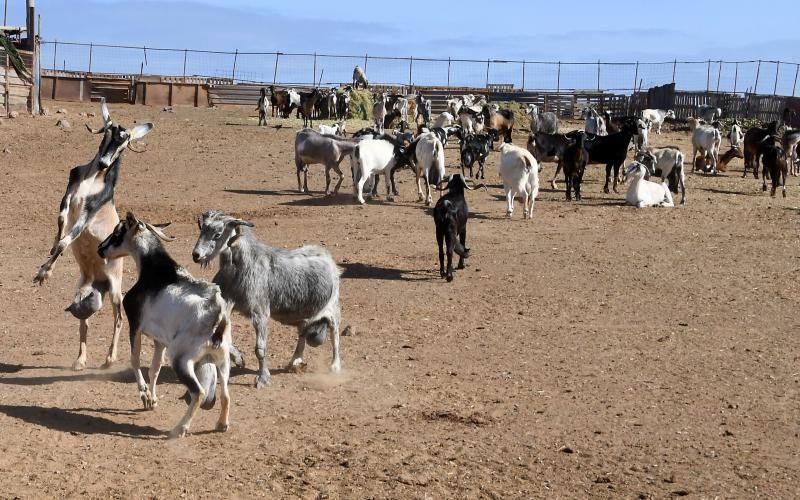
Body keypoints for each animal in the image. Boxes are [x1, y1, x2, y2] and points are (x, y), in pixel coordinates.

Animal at [33, 98, 155, 372]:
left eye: (125, 141)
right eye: (108, 132)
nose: (104, 163)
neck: (94, 180)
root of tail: (100, 283)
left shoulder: (88, 213)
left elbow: (67, 240)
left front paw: (44, 274)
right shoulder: (68, 195)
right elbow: (61, 226)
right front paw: (47, 263)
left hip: (116, 288)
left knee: (118, 317)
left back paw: (109, 360)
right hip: (82, 290)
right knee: (84, 319)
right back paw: (80, 360)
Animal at [193, 209, 344, 388]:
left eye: (218, 234)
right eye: (202, 229)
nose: (196, 255)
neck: (242, 265)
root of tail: (327, 257)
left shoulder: (260, 312)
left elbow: (260, 348)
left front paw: (262, 378)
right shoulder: (227, 304)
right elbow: (220, 338)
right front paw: (239, 359)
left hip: (333, 307)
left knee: (335, 334)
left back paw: (335, 366)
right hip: (304, 314)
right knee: (302, 334)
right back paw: (295, 361)